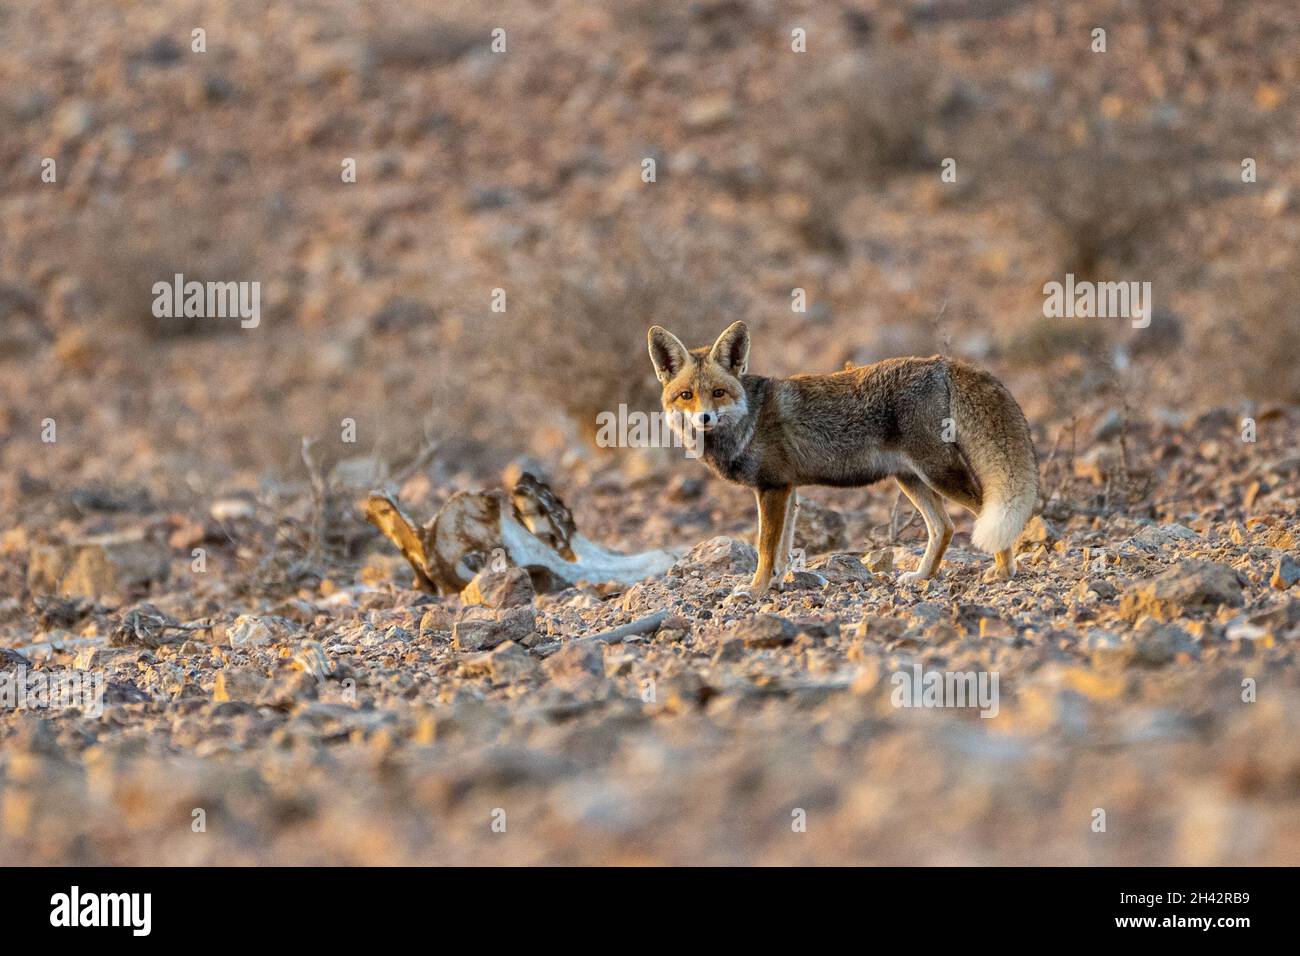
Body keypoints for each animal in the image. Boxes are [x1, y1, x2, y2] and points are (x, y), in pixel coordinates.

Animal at [647, 321, 1034, 598]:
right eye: (686, 395)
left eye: (718, 393)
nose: (704, 419)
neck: (749, 421)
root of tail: (940, 363)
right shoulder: (788, 490)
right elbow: (782, 550)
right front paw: (776, 585)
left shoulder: (772, 488)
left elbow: (765, 548)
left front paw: (755, 591)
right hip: (910, 479)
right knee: (945, 527)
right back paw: (923, 575)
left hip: (937, 473)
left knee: (983, 513)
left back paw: (1004, 571)